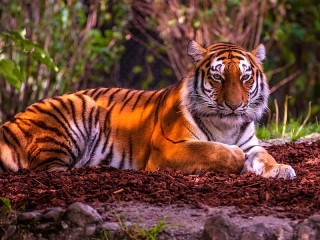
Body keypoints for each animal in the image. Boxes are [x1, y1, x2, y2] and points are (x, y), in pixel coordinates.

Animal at [0, 40, 296, 178]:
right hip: (76, 108)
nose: (235, 106)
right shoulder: (169, 149)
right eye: (218, 77)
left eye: (245, 77)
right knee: (48, 169)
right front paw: (236, 159)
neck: (226, 126)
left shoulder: (251, 145)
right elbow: (215, 151)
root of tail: (9, 123)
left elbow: (265, 155)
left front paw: (281, 168)